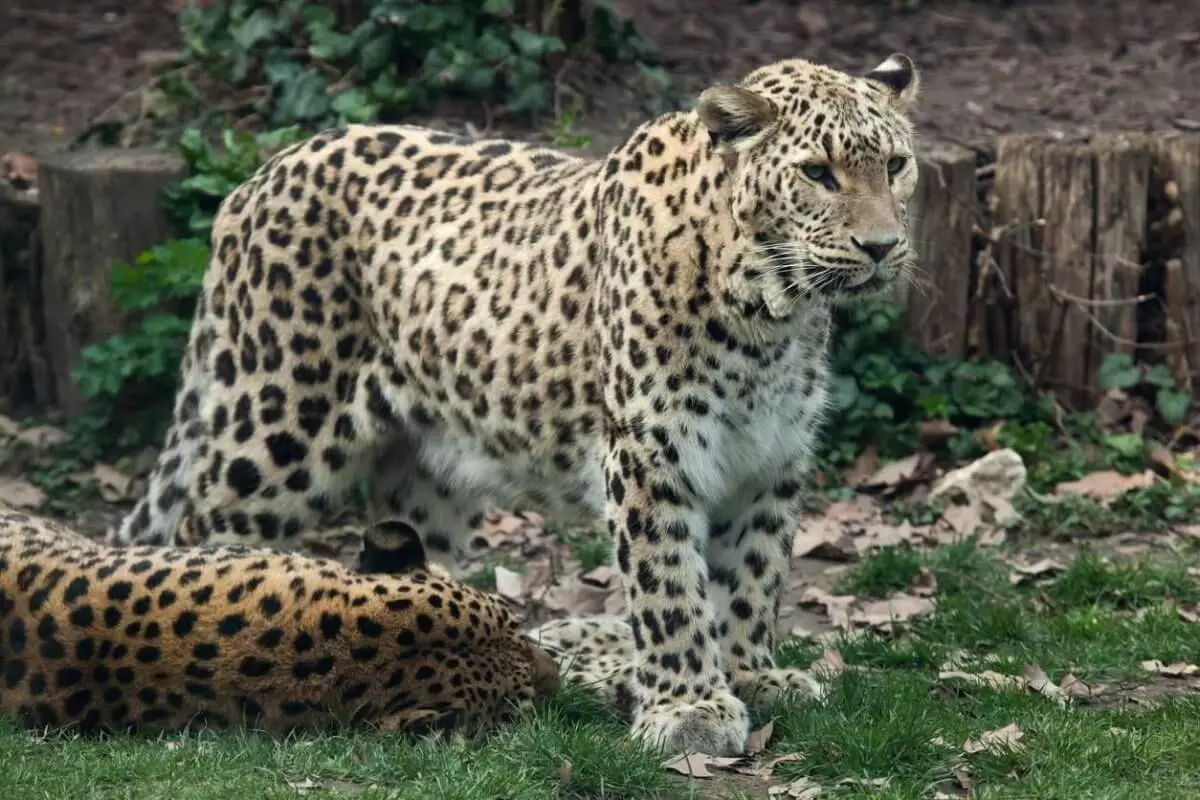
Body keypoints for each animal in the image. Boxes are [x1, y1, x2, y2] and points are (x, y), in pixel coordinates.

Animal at [112, 53, 921, 753]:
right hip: (276, 431)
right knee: (203, 532)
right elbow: (668, 585)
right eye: (817, 173)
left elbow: (751, 576)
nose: (883, 247)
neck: (771, 315)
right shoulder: (651, 454)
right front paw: (688, 707)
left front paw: (753, 675)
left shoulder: (769, 460)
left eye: (896, 165)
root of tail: (258, 178)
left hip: (426, 475)